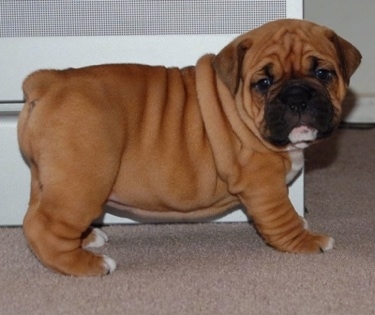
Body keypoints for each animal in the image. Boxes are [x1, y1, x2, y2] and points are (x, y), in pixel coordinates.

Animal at [16, 19, 362, 276]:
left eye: (323, 73)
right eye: (263, 83)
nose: (297, 98)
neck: (241, 108)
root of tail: (47, 82)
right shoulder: (264, 185)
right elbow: (283, 218)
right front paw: (307, 241)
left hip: (47, 179)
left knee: (37, 215)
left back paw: (87, 238)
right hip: (84, 183)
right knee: (43, 227)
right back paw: (87, 265)